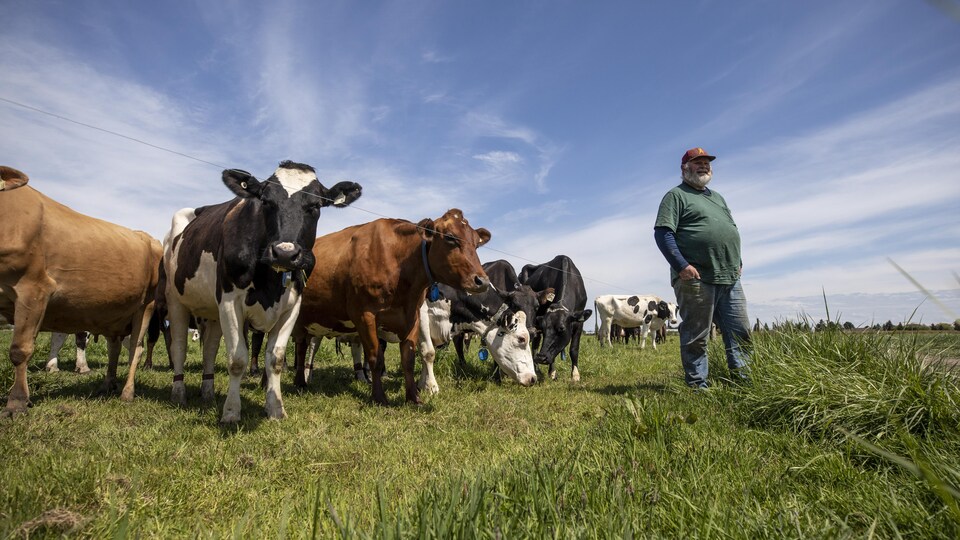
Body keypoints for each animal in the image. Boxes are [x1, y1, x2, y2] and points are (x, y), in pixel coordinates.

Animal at [0, 165, 161, 418]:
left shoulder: (33, 288)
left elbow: (20, 350)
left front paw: (17, 403)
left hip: (145, 307)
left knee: (136, 348)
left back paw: (127, 392)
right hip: (113, 313)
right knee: (114, 348)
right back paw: (107, 384)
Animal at [163, 160, 362, 422]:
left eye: (315, 206)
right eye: (266, 201)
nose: (285, 253)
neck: (270, 281)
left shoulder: (291, 308)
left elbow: (275, 359)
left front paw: (276, 409)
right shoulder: (230, 302)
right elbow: (237, 360)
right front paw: (231, 412)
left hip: (213, 311)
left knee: (209, 350)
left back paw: (208, 392)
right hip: (175, 300)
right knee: (179, 347)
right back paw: (178, 393)